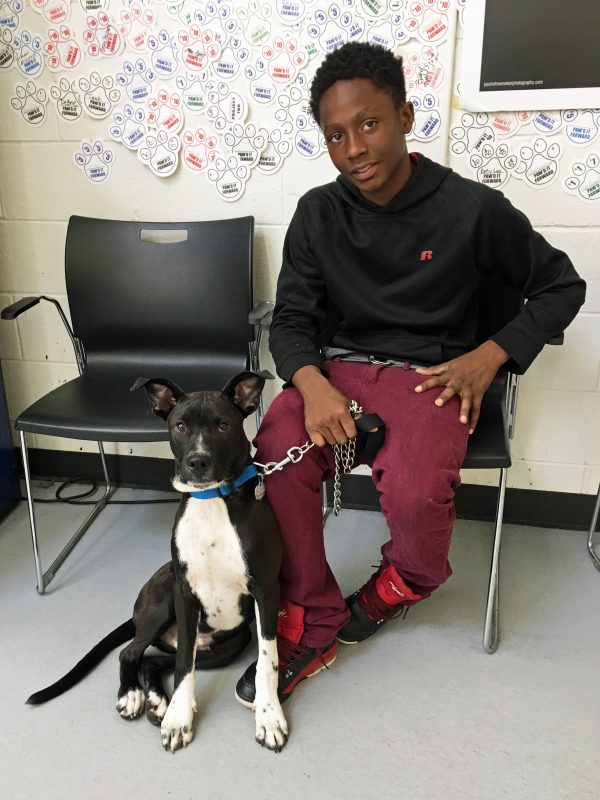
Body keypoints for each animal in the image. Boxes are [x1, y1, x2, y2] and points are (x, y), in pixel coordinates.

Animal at [28, 372, 288, 752]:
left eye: (223, 425)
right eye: (179, 426)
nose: (197, 462)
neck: (211, 500)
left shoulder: (266, 590)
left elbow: (268, 659)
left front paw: (268, 716)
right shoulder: (185, 593)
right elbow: (183, 669)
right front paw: (179, 717)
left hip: (228, 644)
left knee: (152, 661)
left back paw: (154, 700)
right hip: (163, 602)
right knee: (132, 653)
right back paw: (134, 695)